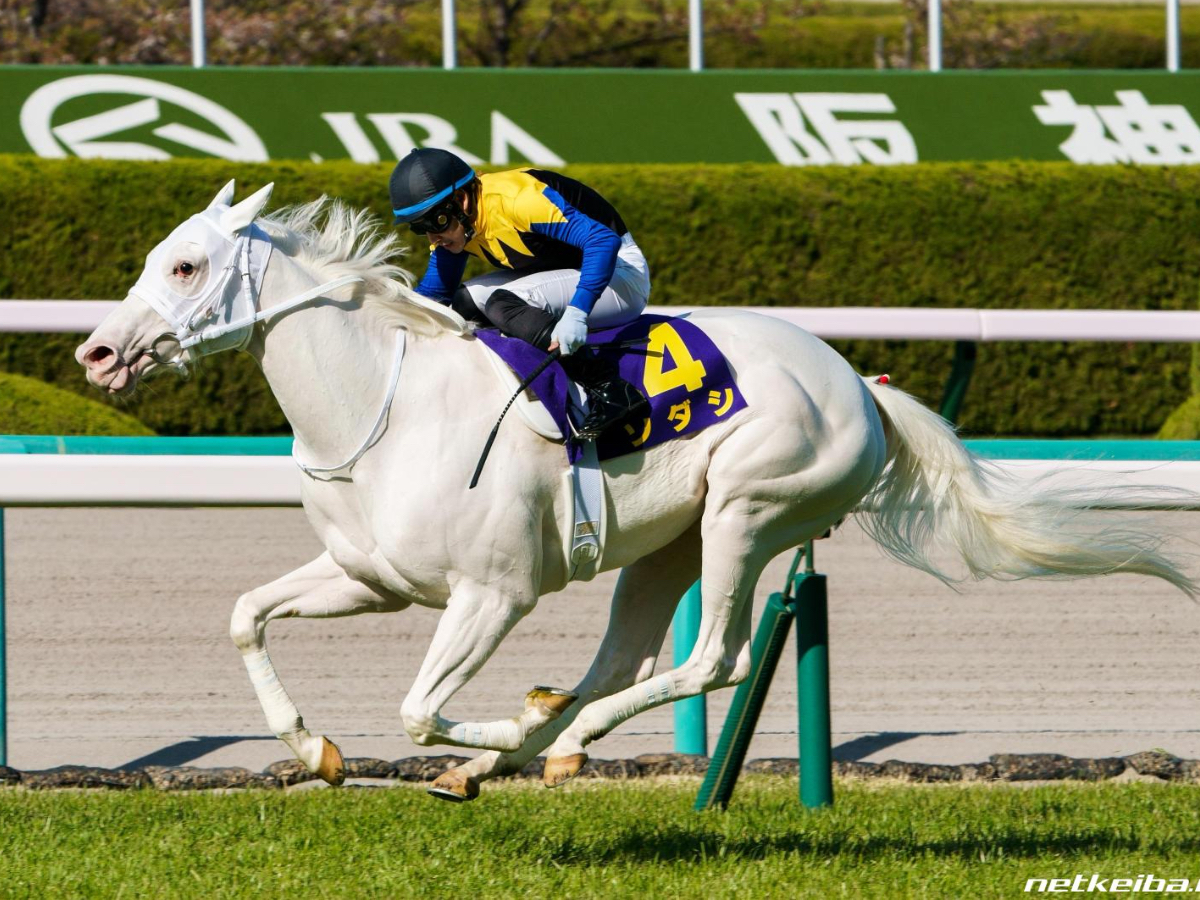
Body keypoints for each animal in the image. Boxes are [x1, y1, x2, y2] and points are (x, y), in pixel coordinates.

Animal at [79, 183, 1195, 801]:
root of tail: (863, 389)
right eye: (154, 258)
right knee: (627, 657)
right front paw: (313, 746)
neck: (382, 409)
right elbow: (245, 615)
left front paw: (495, 737)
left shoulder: (493, 593)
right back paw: (546, 733)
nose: (97, 351)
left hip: (750, 508)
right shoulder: (371, 579)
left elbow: (419, 709)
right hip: (668, 541)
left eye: (186, 266)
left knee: (712, 658)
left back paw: (549, 739)